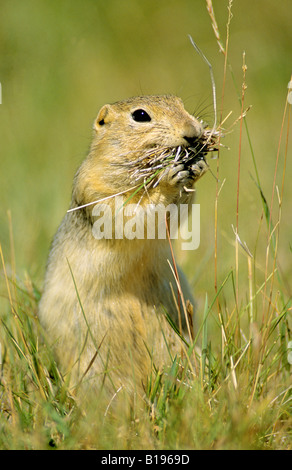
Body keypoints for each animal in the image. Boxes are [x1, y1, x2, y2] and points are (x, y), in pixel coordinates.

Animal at [39, 95, 212, 396]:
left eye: (179, 102)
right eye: (140, 115)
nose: (193, 132)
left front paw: (196, 166)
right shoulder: (93, 187)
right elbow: (124, 215)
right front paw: (169, 179)